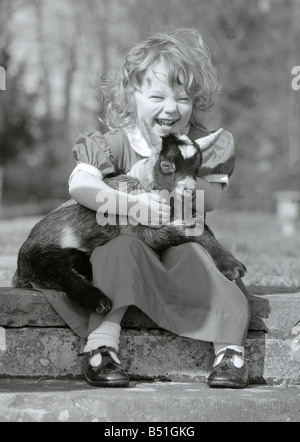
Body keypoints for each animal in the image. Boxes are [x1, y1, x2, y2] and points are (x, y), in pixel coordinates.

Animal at [12, 129, 246, 312]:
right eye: (166, 165)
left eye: (197, 168)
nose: (190, 192)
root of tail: (18, 272)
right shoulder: (140, 230)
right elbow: (187, 231)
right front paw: (233, 266)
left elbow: (203, 228)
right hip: (42, 256)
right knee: (63, 276)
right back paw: (100, 301)